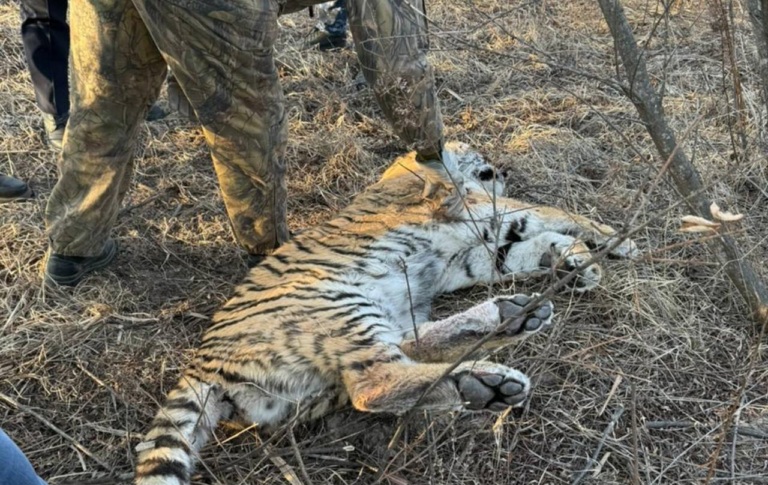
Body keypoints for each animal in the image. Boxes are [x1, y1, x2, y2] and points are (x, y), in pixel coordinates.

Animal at [134, 142, 638, 485]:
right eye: (480, 154)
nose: (503, 169)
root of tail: (202, 364)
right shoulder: (483, 213)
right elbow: (551, 214)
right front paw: (613, 242)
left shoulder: (468, 257)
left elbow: (529, 247)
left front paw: (576, 263)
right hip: (338, 305)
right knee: (375, 384)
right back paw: (488, 380)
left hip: (327, 370)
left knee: (407, 347)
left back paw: (512, 318)